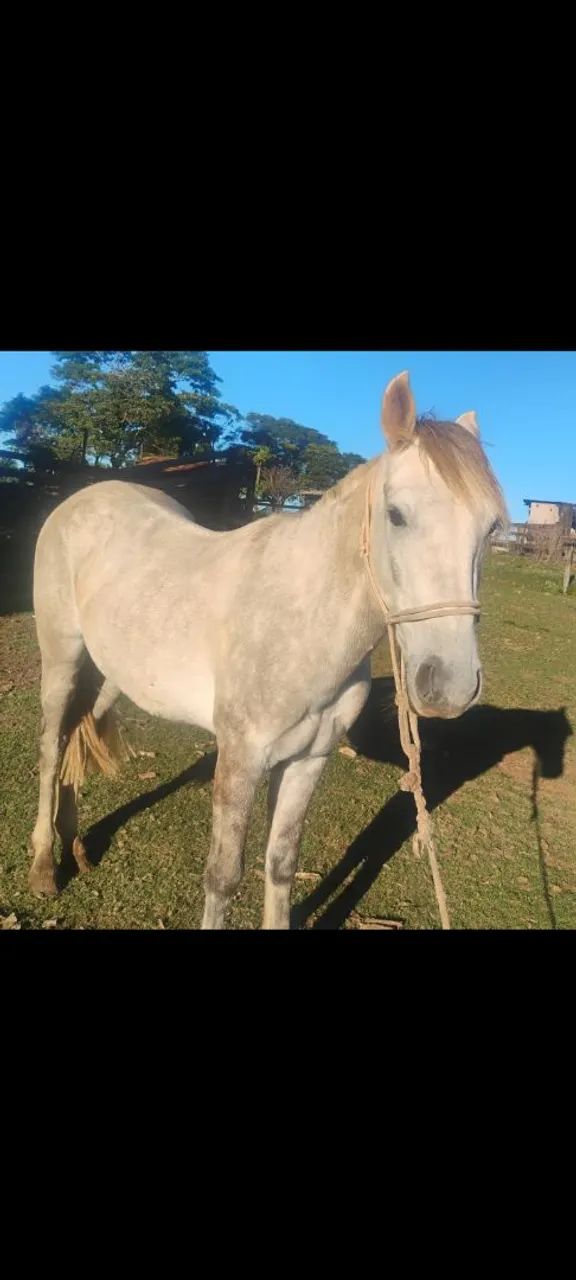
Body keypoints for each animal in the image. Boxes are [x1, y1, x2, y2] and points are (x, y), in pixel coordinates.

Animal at [29, 371, 506, 928]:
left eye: (491, 527)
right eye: (396, 515)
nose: (450, 686)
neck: (302, 621)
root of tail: (83, 498)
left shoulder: (308, 760)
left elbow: (280, 865)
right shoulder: (241, 759)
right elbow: (223, 877)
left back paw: (76, 846)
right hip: (61, 657)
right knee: (51, 747)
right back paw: (44, 866)